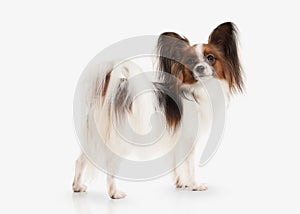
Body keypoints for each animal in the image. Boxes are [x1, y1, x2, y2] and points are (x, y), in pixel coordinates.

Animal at [72, 22, 244, 199]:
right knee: (110, 164)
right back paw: (114, 193)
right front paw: (194, 185)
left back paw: (77, 186)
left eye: (210, 58)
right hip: (121, 139)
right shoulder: (188, 139)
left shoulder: (176, 139)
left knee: (80, 160)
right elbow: (190, 166)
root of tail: (116, 88)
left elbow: (177, 163)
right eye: (190, 60)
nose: (200, 68)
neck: (196, 90)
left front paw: (181, 183)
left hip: (95, 136)